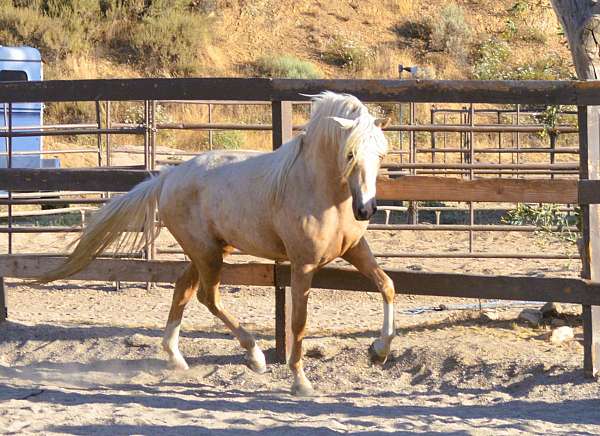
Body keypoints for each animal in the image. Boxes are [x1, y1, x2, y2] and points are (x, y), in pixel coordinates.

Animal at [36, 91, 394, 396]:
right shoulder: (303, 264)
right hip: (208, 254)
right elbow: (298, 322)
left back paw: (176, 357)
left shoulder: (355, 249)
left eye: (380, 154)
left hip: (207, 251)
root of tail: (167, 178)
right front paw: (300, 381)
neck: (318, 190)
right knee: (208, 297)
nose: (366, 209)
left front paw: (378, 352)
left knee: (183, 288)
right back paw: (255, 356)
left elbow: (386, 285)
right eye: (350, 154)